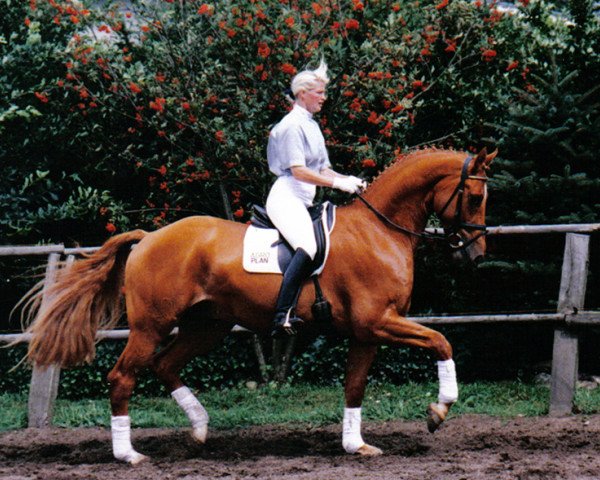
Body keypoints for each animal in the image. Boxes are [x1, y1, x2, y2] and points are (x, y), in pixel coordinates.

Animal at [21, 147, 494, 464]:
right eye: (473, 197)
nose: (475, 255)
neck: (380, 230)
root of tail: (149, 236)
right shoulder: (380, 322)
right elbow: (441, 341)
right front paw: (439, 410)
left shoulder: (367, 332)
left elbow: (354, 387)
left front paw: (355, 444)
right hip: (151, 326)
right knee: (122, 377)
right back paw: (129, 455)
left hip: (205, 327)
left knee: (165, 365)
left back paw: (199, 429)